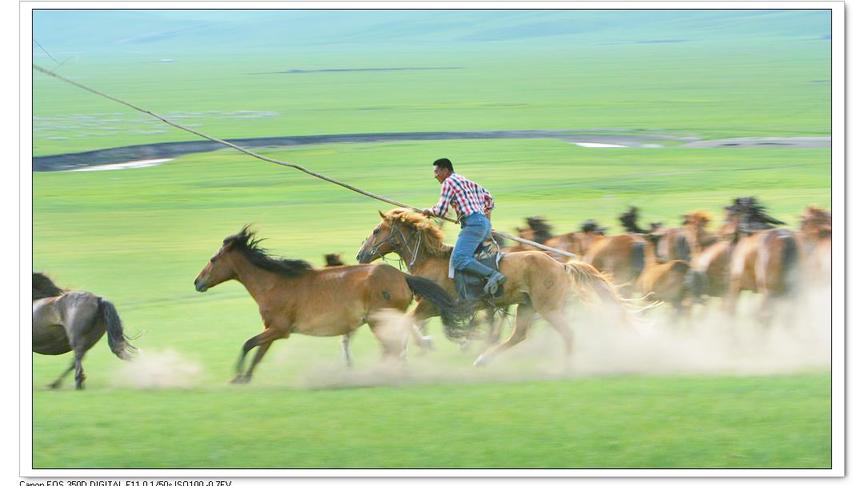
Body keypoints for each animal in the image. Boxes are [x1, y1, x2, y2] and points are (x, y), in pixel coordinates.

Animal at [194, 226, 466, 382]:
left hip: (379, 321)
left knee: (394, 348)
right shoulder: (272, 329)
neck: (274, 283)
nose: (197, 282)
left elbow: (248, 344)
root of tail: (402, 276)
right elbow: (259, 351)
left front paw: (237, 374)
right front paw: (245, 377)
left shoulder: (280, 329)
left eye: (213, 259)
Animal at [354, 207, 632, 366]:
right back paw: (483, 359)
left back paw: (568, 365)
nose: (360, 255)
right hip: (526, 306)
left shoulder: (431, 305)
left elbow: (408, 322)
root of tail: (561, 265)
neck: (430, 259)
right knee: (519, 335)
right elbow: (410, 323)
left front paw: (420, 345)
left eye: (377, 230)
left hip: (548, 308)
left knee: (568, 333)